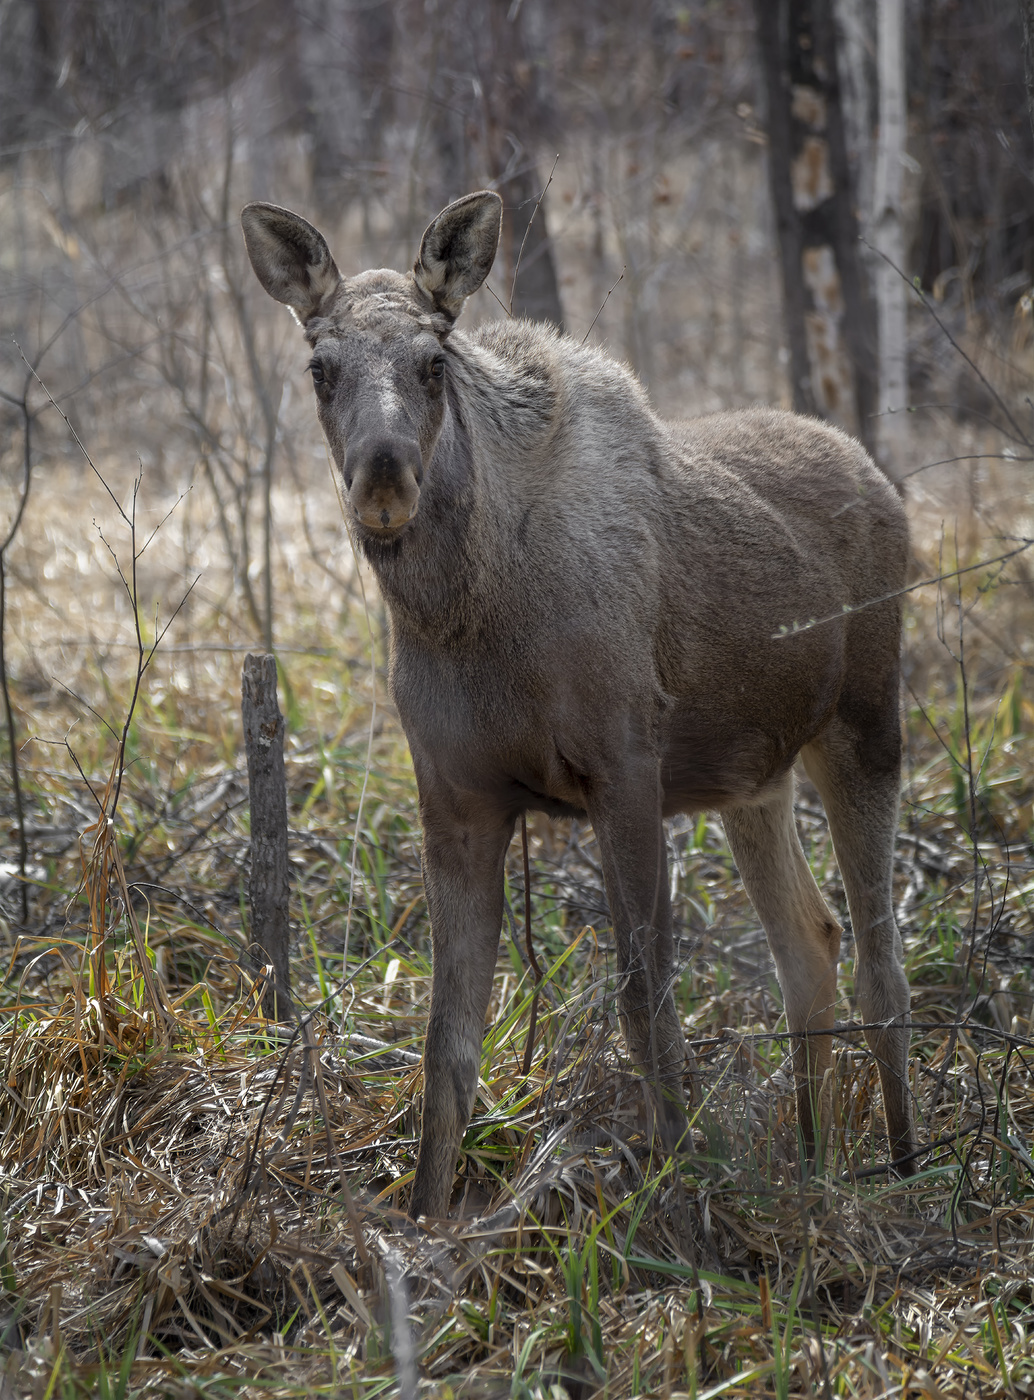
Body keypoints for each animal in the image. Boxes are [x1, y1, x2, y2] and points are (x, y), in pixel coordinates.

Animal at [244, 191, 923, 1220]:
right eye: (321, 368)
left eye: (433, 360)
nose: (384, 477)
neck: (468, 615)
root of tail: (883, 480)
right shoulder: (454, 797)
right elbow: (447, 1038)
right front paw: (426, 1215)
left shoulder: (625, 764)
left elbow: (646, 1002)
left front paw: (678, 1192)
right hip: (754, 782)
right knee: (811, 943)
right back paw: (814, 1163)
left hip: (866, 725)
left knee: (885, 962)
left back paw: (907, 1171)